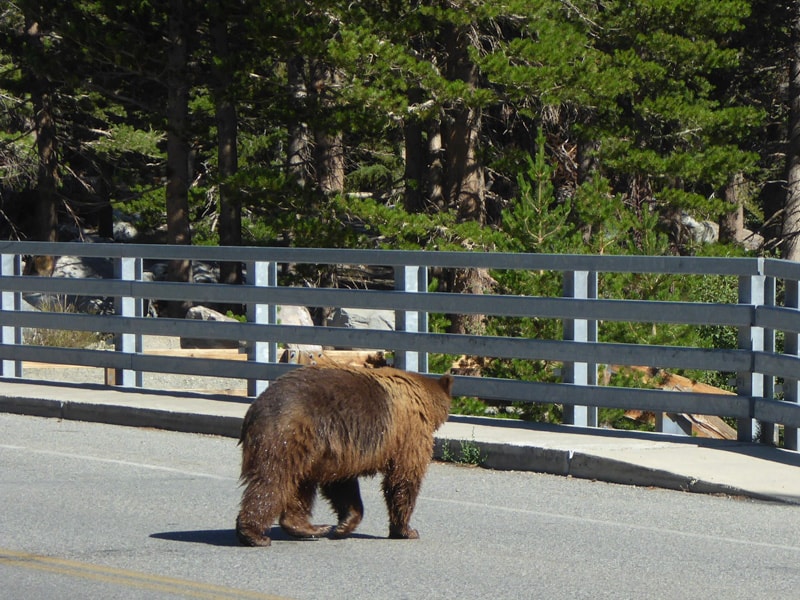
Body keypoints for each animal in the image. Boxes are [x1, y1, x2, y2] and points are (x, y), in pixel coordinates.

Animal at [234, 364, 454, 548]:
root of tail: (253, 412)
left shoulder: (338, 451)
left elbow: (341, 485)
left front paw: (343, 525)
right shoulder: (409, 433)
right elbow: (403, 479)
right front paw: (406, 530)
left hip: (307, 449)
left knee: (299, 485)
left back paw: (309, 527)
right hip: (286, 437)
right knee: (272, 481)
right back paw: (254, 534)